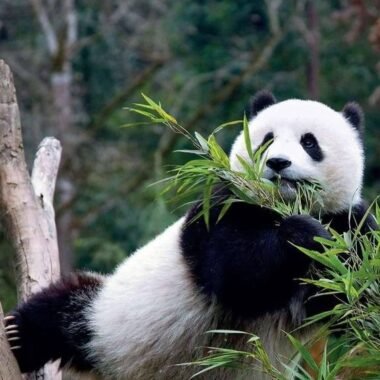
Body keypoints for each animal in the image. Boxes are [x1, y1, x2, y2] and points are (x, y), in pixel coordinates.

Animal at [3, 90, 378, 378]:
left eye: (309, 142)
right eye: (267, 140)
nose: (278, 163)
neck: (281, 205)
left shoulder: (350, 223)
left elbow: (354, 291)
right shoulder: (221, 206)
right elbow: (235, 269)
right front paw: (305, 235)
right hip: (104, 322)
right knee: (59, 312)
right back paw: (18, 335)